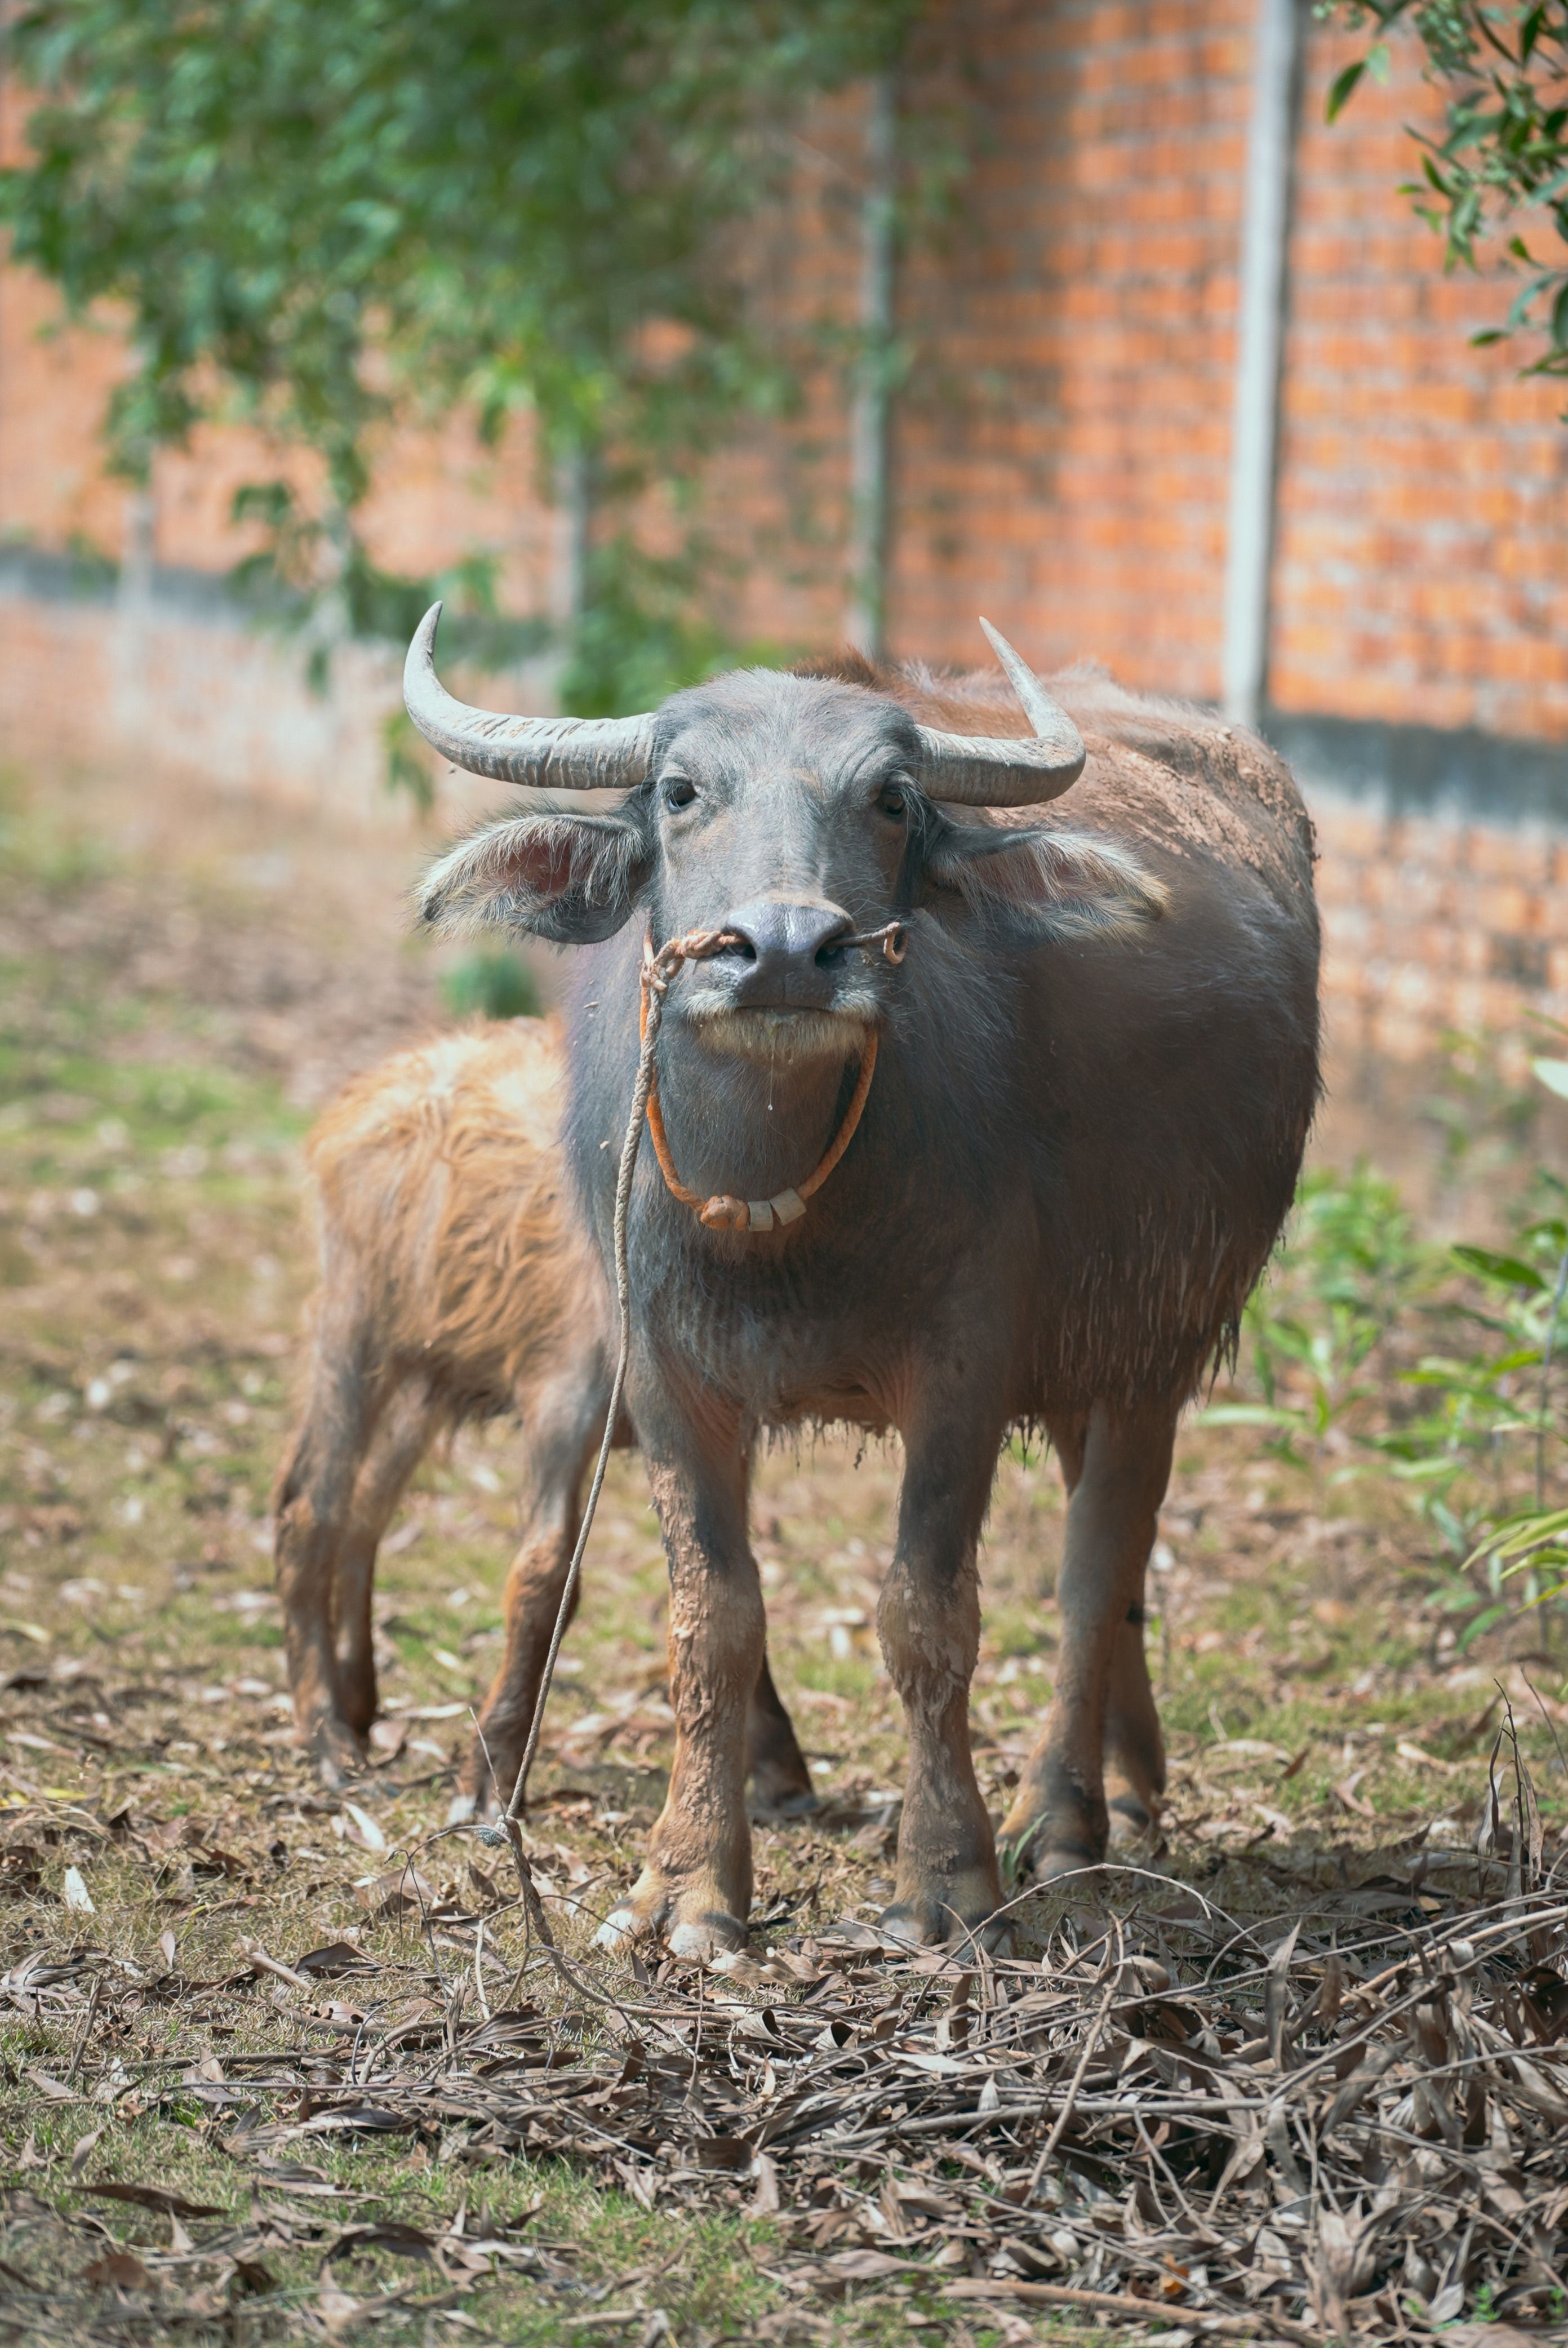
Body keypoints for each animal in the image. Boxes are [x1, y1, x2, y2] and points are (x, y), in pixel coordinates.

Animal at [403, 613, 1319, 1954]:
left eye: (888, 799)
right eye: (680, 792)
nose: (788, 951)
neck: (780, 1210)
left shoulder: (965, 1369)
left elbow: (925, 1617)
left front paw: (942, 1877)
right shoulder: (665, 1372)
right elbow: (712, 1617)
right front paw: (691, 1883)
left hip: (1149, 1343)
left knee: (1098, 1567)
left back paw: (1066, 1815)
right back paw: (1129, 1774)